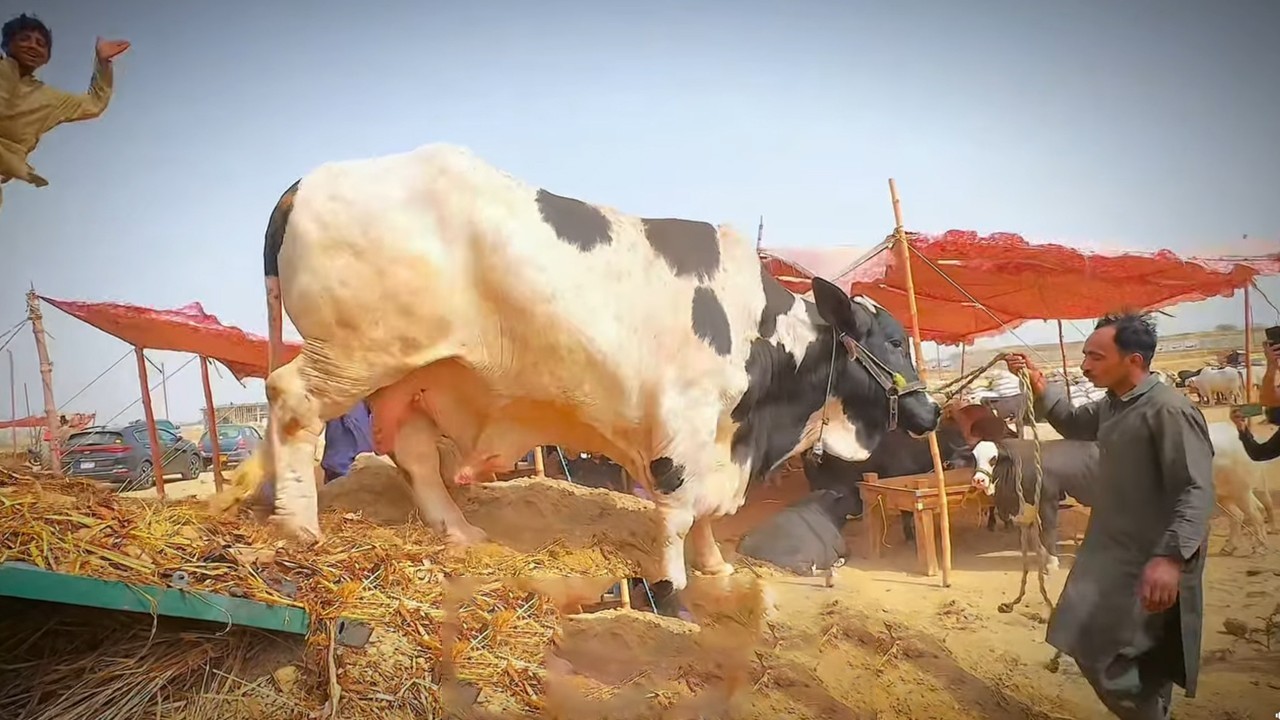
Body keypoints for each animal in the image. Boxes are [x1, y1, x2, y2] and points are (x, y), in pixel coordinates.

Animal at [247, 143, 941, 602]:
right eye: (895, 340)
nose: (931, 411)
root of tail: (307, 180)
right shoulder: (683, 425)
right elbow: (677, 513)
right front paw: (675, 588)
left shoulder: (721, 441)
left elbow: (708, 515)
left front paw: (715, 567)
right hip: (352, 355)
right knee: (291, 402)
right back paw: (300, 527)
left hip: (413, 375)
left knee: (414, 453)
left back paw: (460, 531)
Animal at [970, 438, 1101, 573]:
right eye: (975, 458)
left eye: (993, 459)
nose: (978, 480)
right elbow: (1037, 533)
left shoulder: (1048, 502)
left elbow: (1048, 531)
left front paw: (1052, 563)